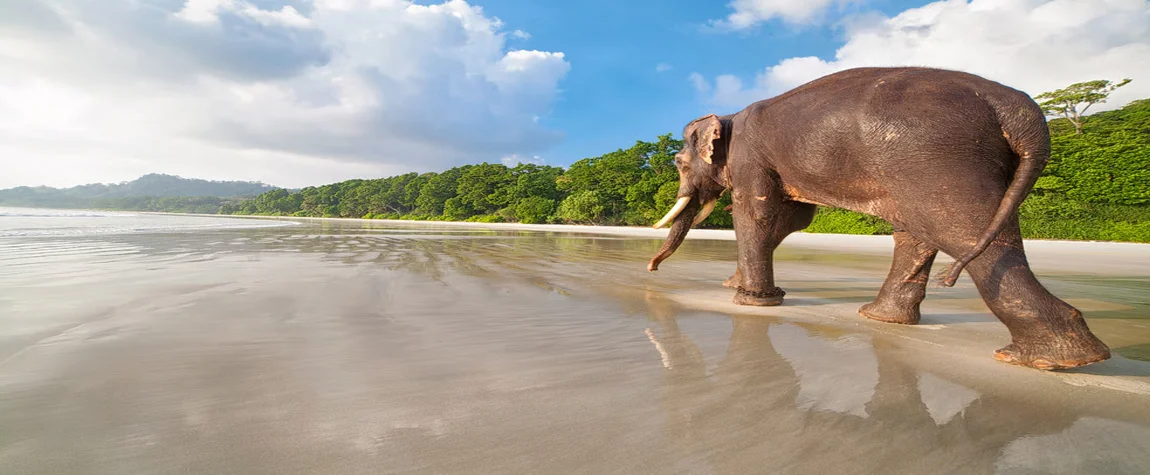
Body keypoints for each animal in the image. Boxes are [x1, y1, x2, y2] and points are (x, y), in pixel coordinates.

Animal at [644, 66, 1108, 370]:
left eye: (677, 164)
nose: (649, 268)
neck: (728, 115)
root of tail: (1017, 108)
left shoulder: (750, 157)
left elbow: (758, 211)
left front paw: (752, 301)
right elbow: (792, 218)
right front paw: (739, 288)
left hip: (933, 157)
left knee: (960, 230)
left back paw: (1051, 361)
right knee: (923, 232)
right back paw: (882, 319)